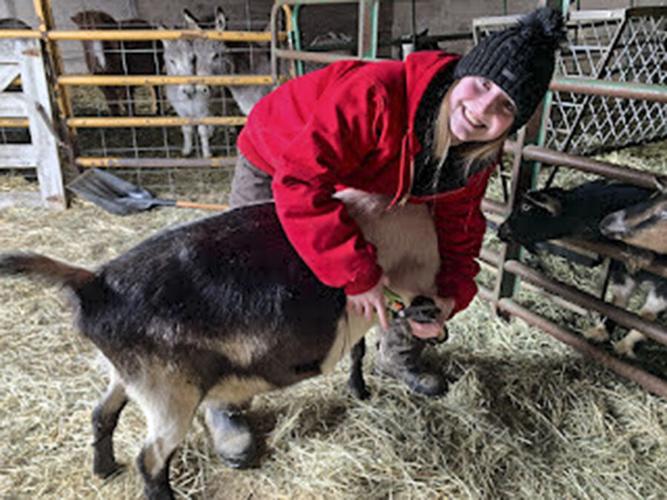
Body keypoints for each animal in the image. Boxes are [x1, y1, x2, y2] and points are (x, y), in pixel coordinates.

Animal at [0, 189, 441, 500]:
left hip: (128, 375)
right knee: (150, 458)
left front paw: (360, 390)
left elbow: (358, 349)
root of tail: (94, 282)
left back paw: (105, 469)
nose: (433, 314)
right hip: (169, 390)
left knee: (101, 413)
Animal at [498, 179, 666, 358]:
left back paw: (623, 346)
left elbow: (648, 313)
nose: (501, 231)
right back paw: (599, 334)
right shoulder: (622, 269)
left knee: (648, 314)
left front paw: (641, 254)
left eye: (526, 207)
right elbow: (619, 301)